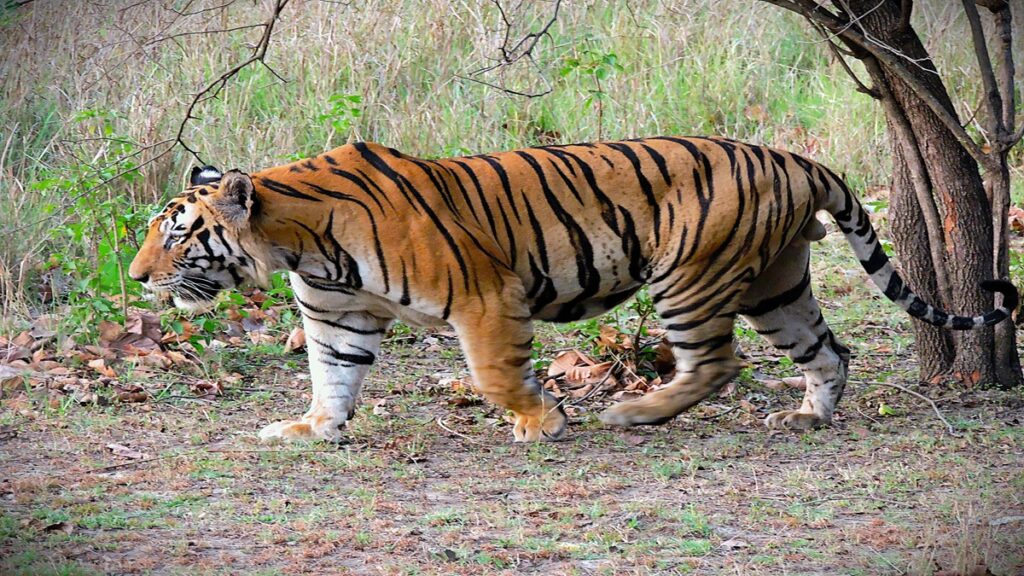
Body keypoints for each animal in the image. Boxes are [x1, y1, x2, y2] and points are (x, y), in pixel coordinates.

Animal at [128, 137, 1018, 443]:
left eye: (175, 234)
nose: (135, 278)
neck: (300, 245)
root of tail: (797, 158)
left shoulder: (483, 296)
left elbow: (495, 374)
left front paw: (544, 421)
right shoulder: (339, 316)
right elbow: (332, 379)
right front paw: (311, 429)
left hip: (690, 278)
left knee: (716, 363)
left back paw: (635, 413)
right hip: (778, 285)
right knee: (830, 351)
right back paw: (808, 415)